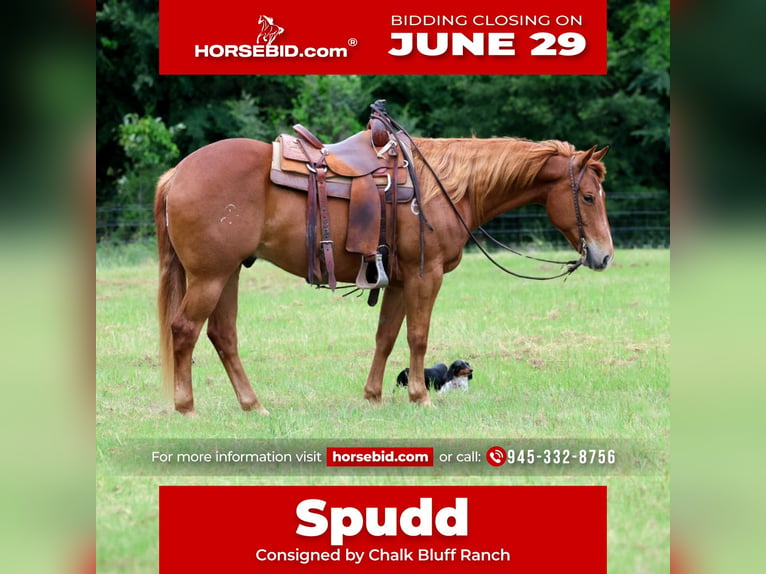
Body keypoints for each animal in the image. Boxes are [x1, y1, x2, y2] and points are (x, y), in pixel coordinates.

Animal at [154, 134, 613, 416]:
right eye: (589, 197)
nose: (604, 255)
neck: (444, 187)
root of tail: (178, 172)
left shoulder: (400, 280)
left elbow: (386, 336)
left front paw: (373, 396)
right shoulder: (426, 276)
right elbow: (417, 336)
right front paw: (420, 396)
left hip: (228, 273)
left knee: (223, 336)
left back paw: (253, 405)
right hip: (210, 276)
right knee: (185, 330)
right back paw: (186, 407)